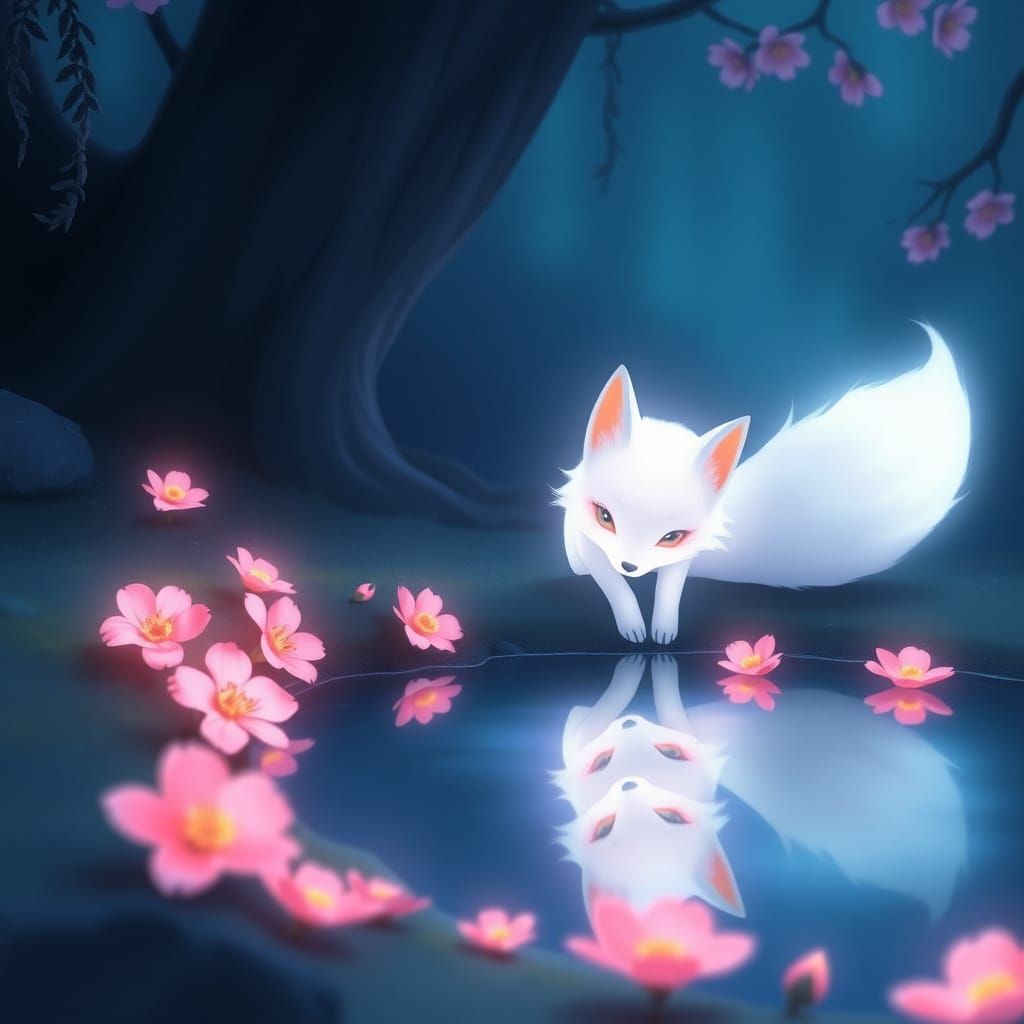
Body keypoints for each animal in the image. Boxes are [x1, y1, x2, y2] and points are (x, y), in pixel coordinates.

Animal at [554, 324, 971, 643]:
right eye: (604, 517)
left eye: (671, 537)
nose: (630, 564)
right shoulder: (586, 539)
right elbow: (613, 586)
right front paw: (632, 625)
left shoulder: (681, 555)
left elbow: (670, 590)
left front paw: (663, 629)